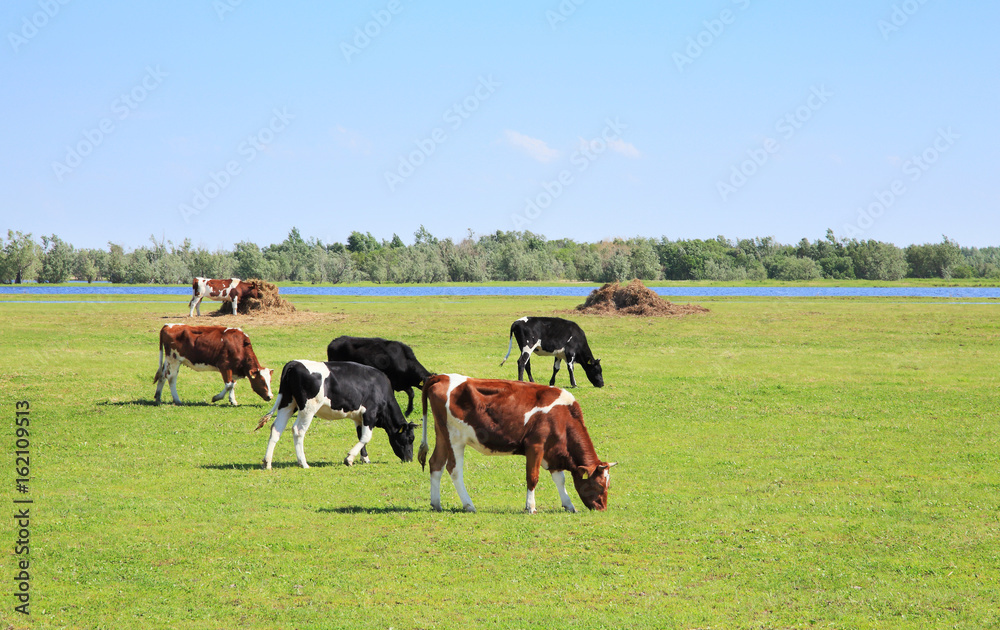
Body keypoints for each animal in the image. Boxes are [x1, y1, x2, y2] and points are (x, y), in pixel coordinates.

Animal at [258, 362, 418, 472]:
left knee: (276, 429)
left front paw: (365, 458)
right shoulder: (370, 414)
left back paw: (267, 462)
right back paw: (303, 463)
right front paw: (349, 458)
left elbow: (360, 436)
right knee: (298, 431)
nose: (410, 459)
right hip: (308, 408)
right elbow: (366, 437)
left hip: (287, 403)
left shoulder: (358, 418)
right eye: (410, 438)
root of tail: (295, 363)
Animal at [416, 376, 616, 512]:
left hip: (442, 434)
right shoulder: (535, 445)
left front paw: (568, 504)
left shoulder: (553, 450)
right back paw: (468, 504)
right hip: (455, 438)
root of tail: (443, 376)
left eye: (608, 486)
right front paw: (530, 507)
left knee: (436, 464)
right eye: (600, 485)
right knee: (454, 469)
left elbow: (560, 478)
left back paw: (436, 504)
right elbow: (533, 477)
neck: (562, 416)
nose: (602, 508)